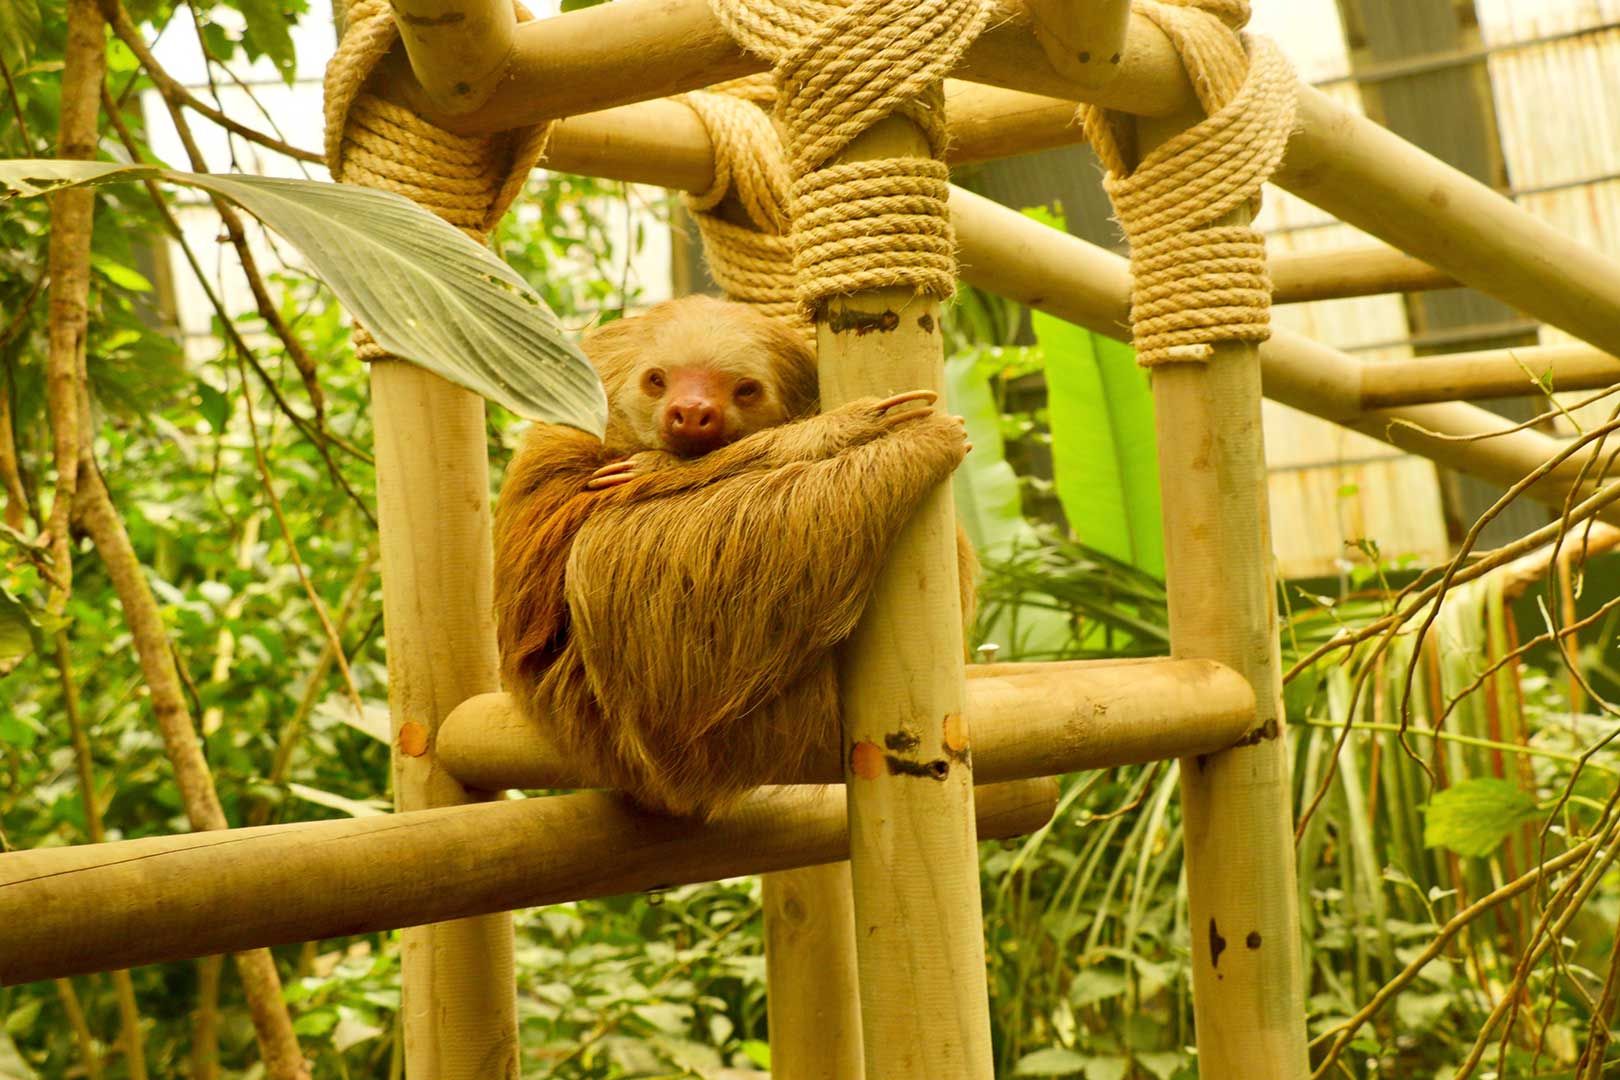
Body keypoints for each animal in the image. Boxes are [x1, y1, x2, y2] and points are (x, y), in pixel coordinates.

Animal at [493, 295, 974, 819]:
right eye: (657, 380)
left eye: (745, 389)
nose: (691, 410)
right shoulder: (558, 459)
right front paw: (860, 429)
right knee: (605, 544)